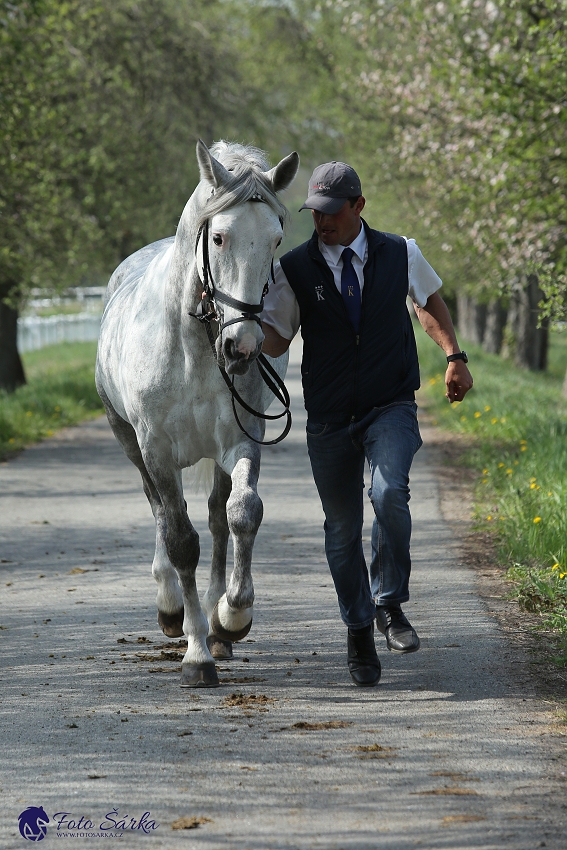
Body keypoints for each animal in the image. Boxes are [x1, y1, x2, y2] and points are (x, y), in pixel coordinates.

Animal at [96, 137, 302, 684]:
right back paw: (172, 609)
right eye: (220, 238)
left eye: (275, 240)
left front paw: (231, 617)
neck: (191, 346)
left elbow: (242, 514)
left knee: (214, 518)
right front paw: (195, 654)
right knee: (163, 515)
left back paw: (214, 625)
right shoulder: (157, 452)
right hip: (130, 444)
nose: (243, 346)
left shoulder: (241, 442)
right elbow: (179, 539)